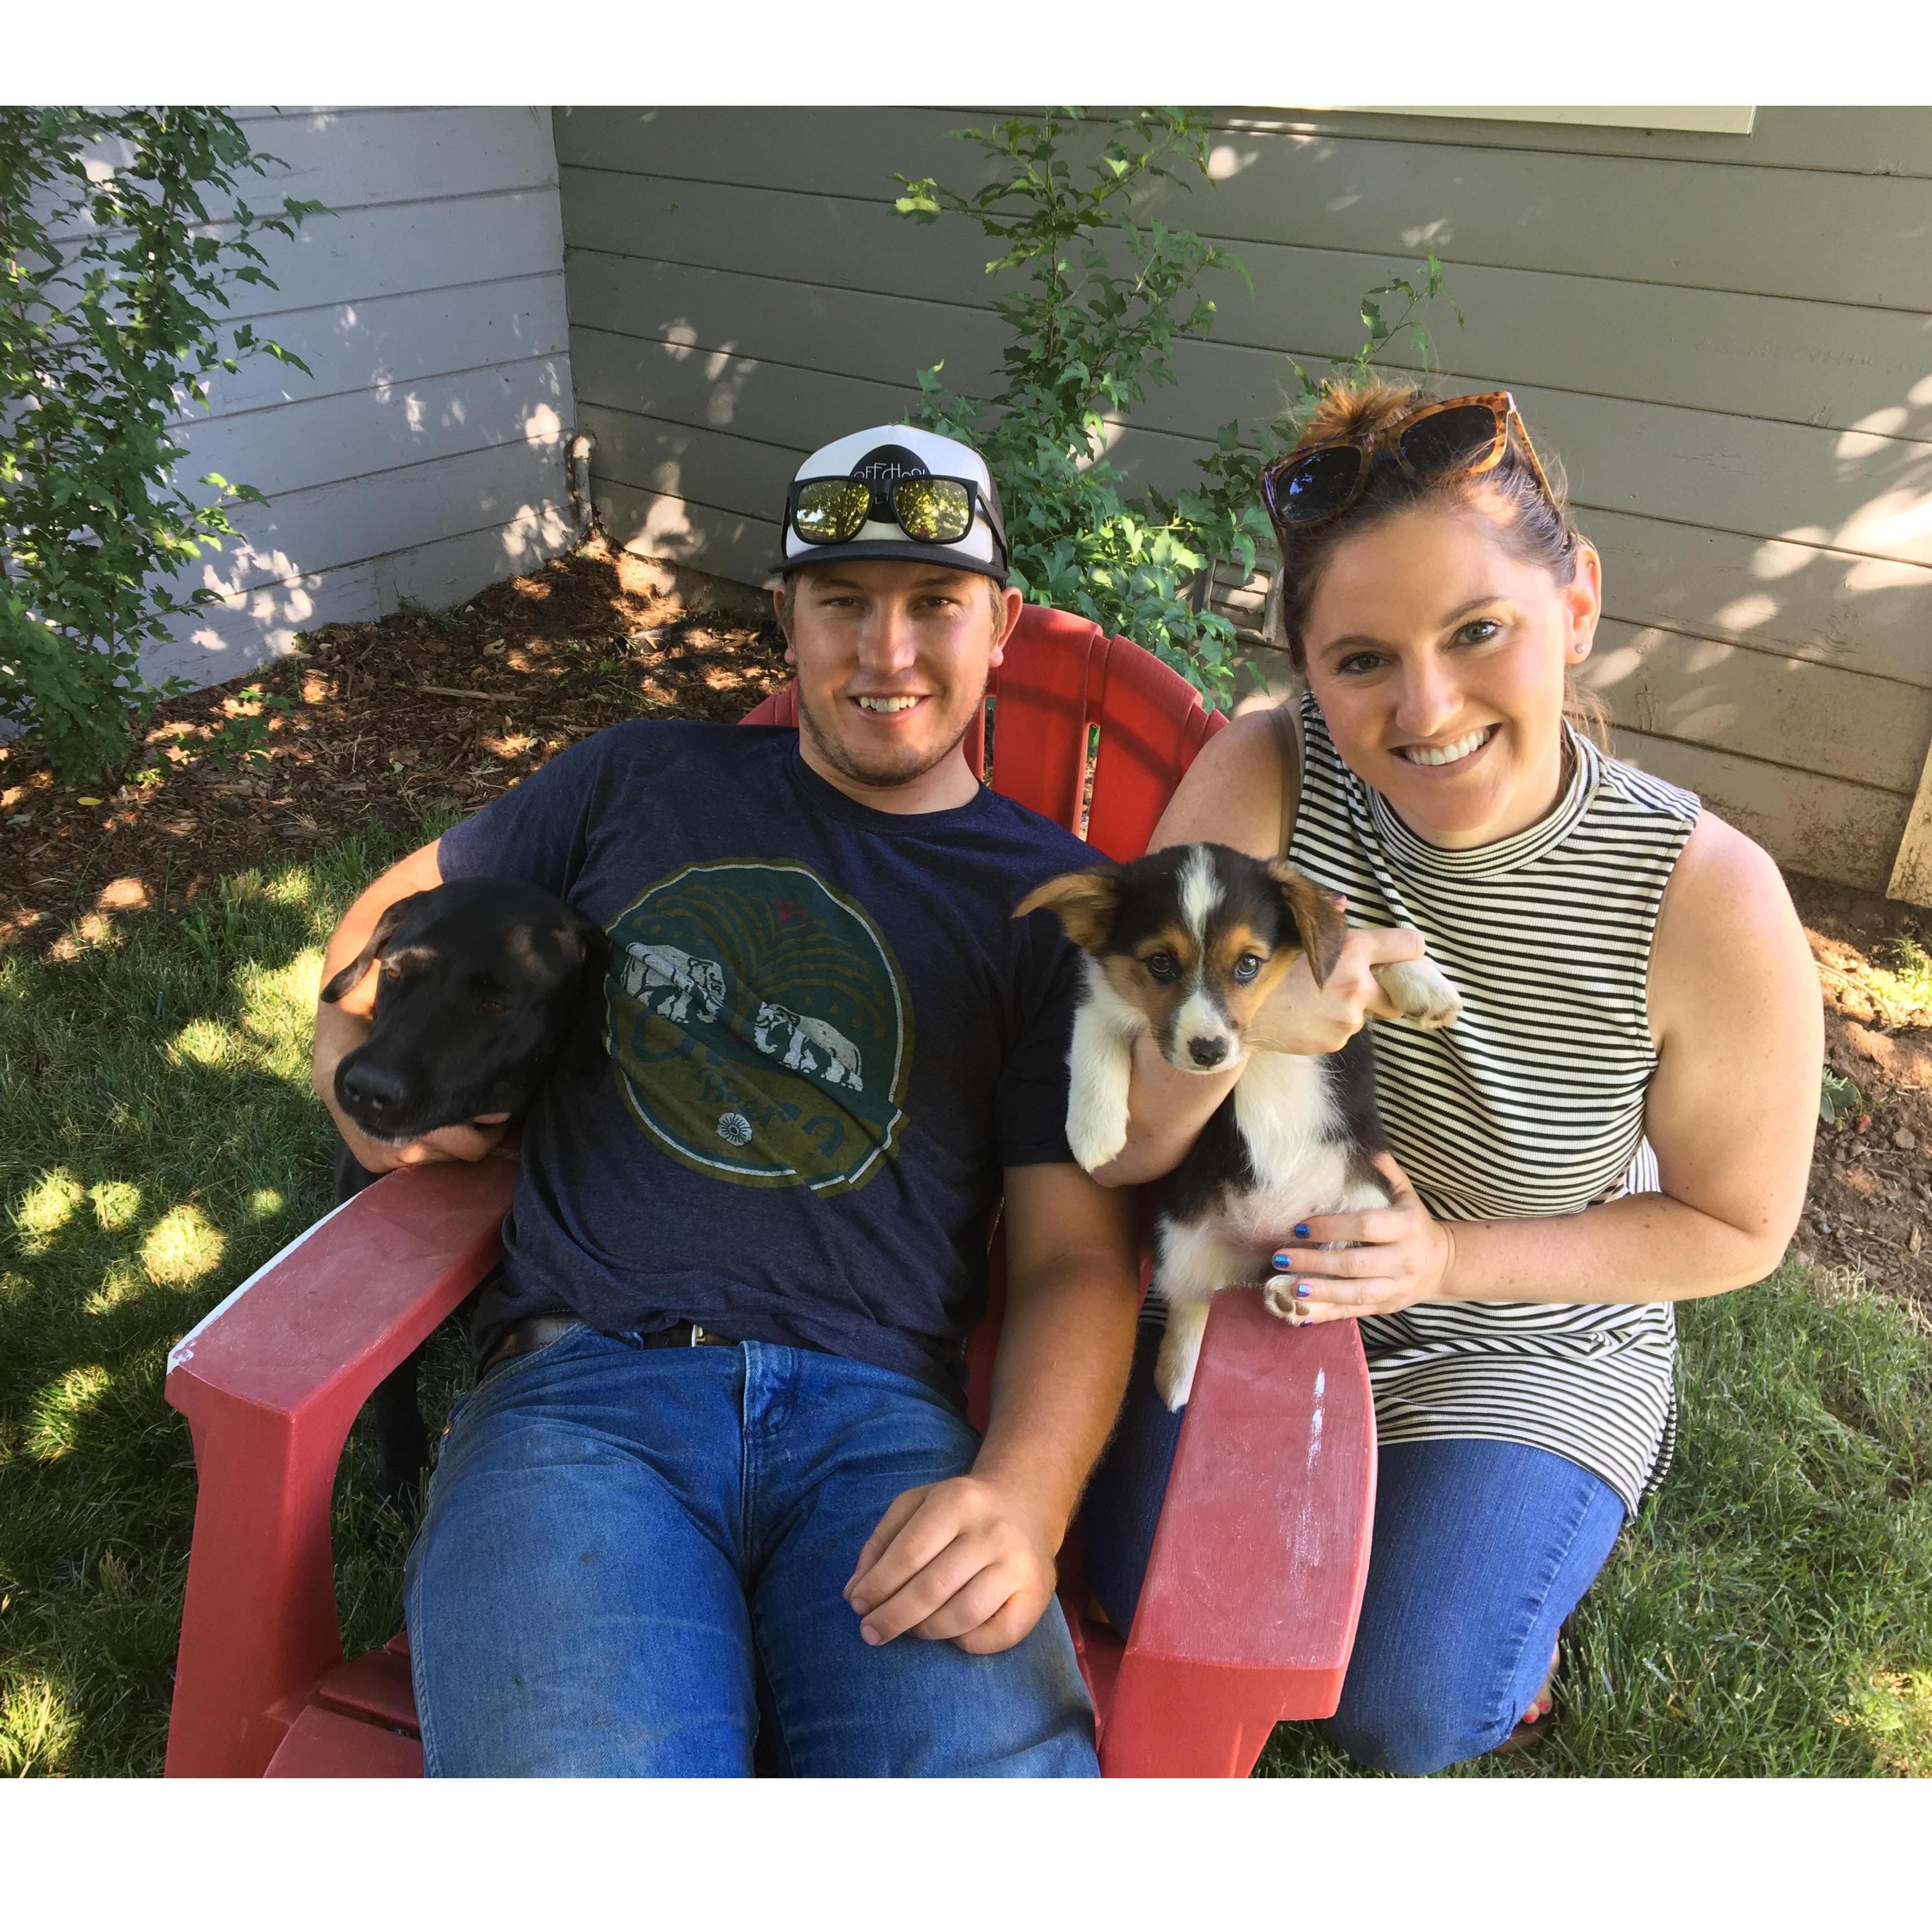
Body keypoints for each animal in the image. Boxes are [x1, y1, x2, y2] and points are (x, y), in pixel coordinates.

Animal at [1017, 842, 1460, 1409]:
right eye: (1160, 963)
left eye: (1248, 964)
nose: (1209, 1052)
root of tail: (1261, 1249)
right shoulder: (1106, 1000)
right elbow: (1093, 1031)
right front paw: (1093, 1131)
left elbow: (1361, 940)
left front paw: (1426, 985)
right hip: (1177, 1236)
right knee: (1191, 1305)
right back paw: (1180, 1377)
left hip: (1366, 1202)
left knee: (1325, 1259)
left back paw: (1293, 1292)